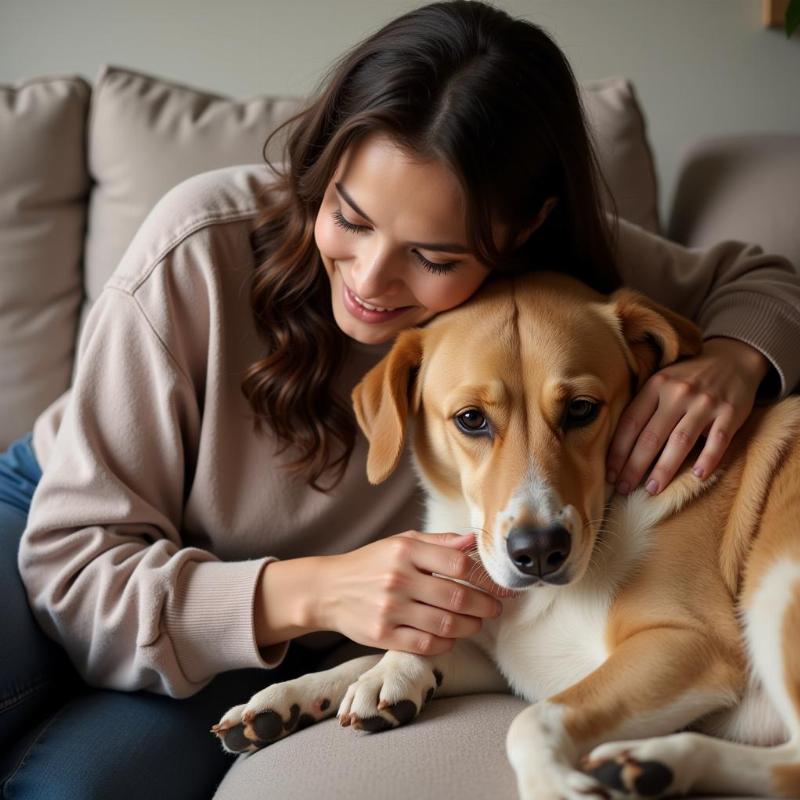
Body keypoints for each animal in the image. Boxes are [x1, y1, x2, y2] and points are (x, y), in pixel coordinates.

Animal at [212, 270, 800, 800]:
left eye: (581, 409)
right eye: (471, 419)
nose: (538, 552)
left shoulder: (686, 642)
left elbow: (531, 720)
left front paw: (552, 786)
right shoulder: (506, 654)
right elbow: (378, 652)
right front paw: (315, 689)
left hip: (777, 589)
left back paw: (657, 761)